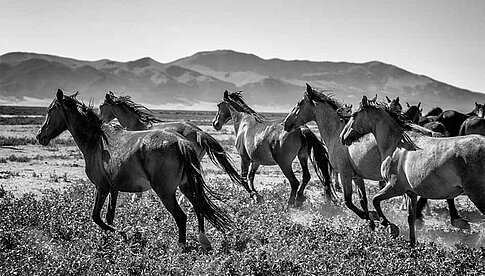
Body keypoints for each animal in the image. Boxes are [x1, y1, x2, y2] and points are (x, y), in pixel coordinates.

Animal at [35, 89, 231, 251]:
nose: (39, 136)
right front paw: (109, 241)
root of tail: (182, 142)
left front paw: (123, 234)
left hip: (165, 192)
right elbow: (109, 216)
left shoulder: (101, 187)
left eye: (49, 111)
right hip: (187, 186)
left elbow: (96, 217)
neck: (96, 141)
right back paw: (204, 242)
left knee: (181, 217)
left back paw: (181, 248)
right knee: (199, 209)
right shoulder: (113, 189)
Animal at [340, 96, 485, 245]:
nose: (342, 137)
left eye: (353, 115)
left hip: (477, 196)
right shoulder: (411, 193)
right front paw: (412, 243)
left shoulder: (395, 187)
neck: (397, 145)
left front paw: (390, 227)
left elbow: (375, 200)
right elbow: (410, 217)